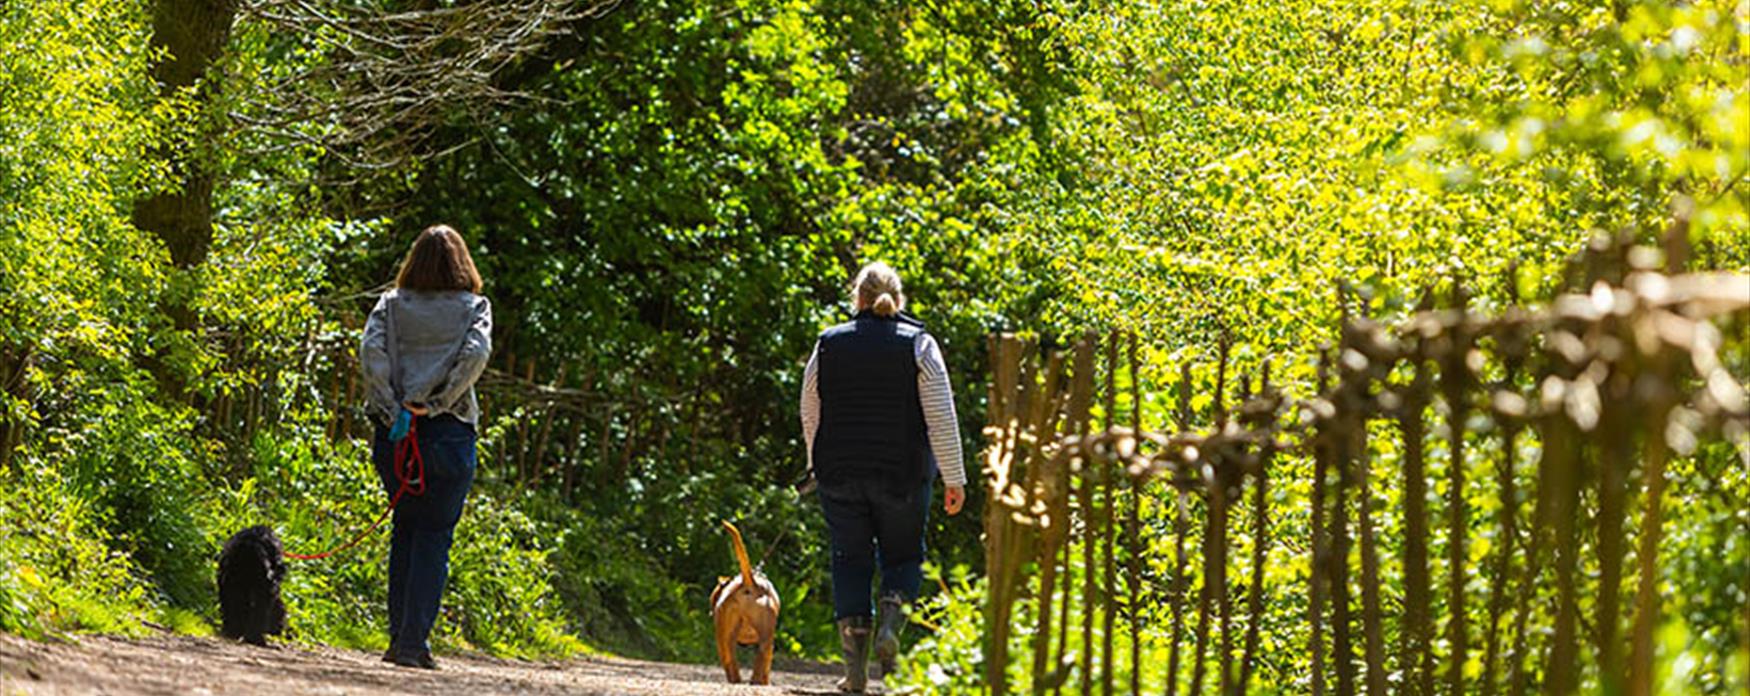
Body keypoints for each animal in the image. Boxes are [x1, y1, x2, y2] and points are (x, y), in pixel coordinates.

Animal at [710, 517, 780, 682]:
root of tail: (750, 584)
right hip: (765, 639)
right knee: (760, 659)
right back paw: (755, 682)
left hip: (726, 639)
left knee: (731, 662)